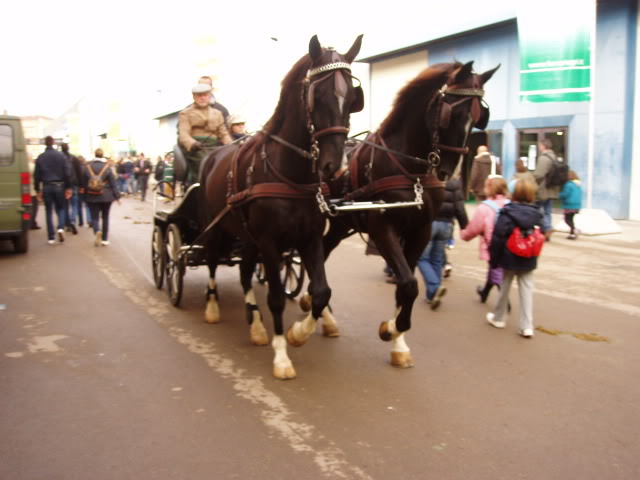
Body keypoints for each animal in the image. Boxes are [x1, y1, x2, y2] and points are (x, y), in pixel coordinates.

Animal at [198, 34, 364, 378]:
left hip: (247, 237)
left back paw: (256, 325)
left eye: (353, 98)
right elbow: (275, 298)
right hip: (216, 229)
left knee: (245, 272)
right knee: (212, 263)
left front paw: (298, 333)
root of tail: (212, 155)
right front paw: (282, 355)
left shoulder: (309, 239)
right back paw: (212, 307)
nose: (336, 167)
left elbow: (321, 291)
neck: (290, 176)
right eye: (318, 96)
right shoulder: (270, 243)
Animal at [298, 60, 498, 368]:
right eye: (452, 112)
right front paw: (392, 330)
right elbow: (408, 283)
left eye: (479, 116)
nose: (447, 171)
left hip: (342, 224)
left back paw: (320, 309)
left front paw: (398, 338)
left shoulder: (421, 230)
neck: (408, 168)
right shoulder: (383, 228)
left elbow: (406, 286)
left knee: (324, 250)